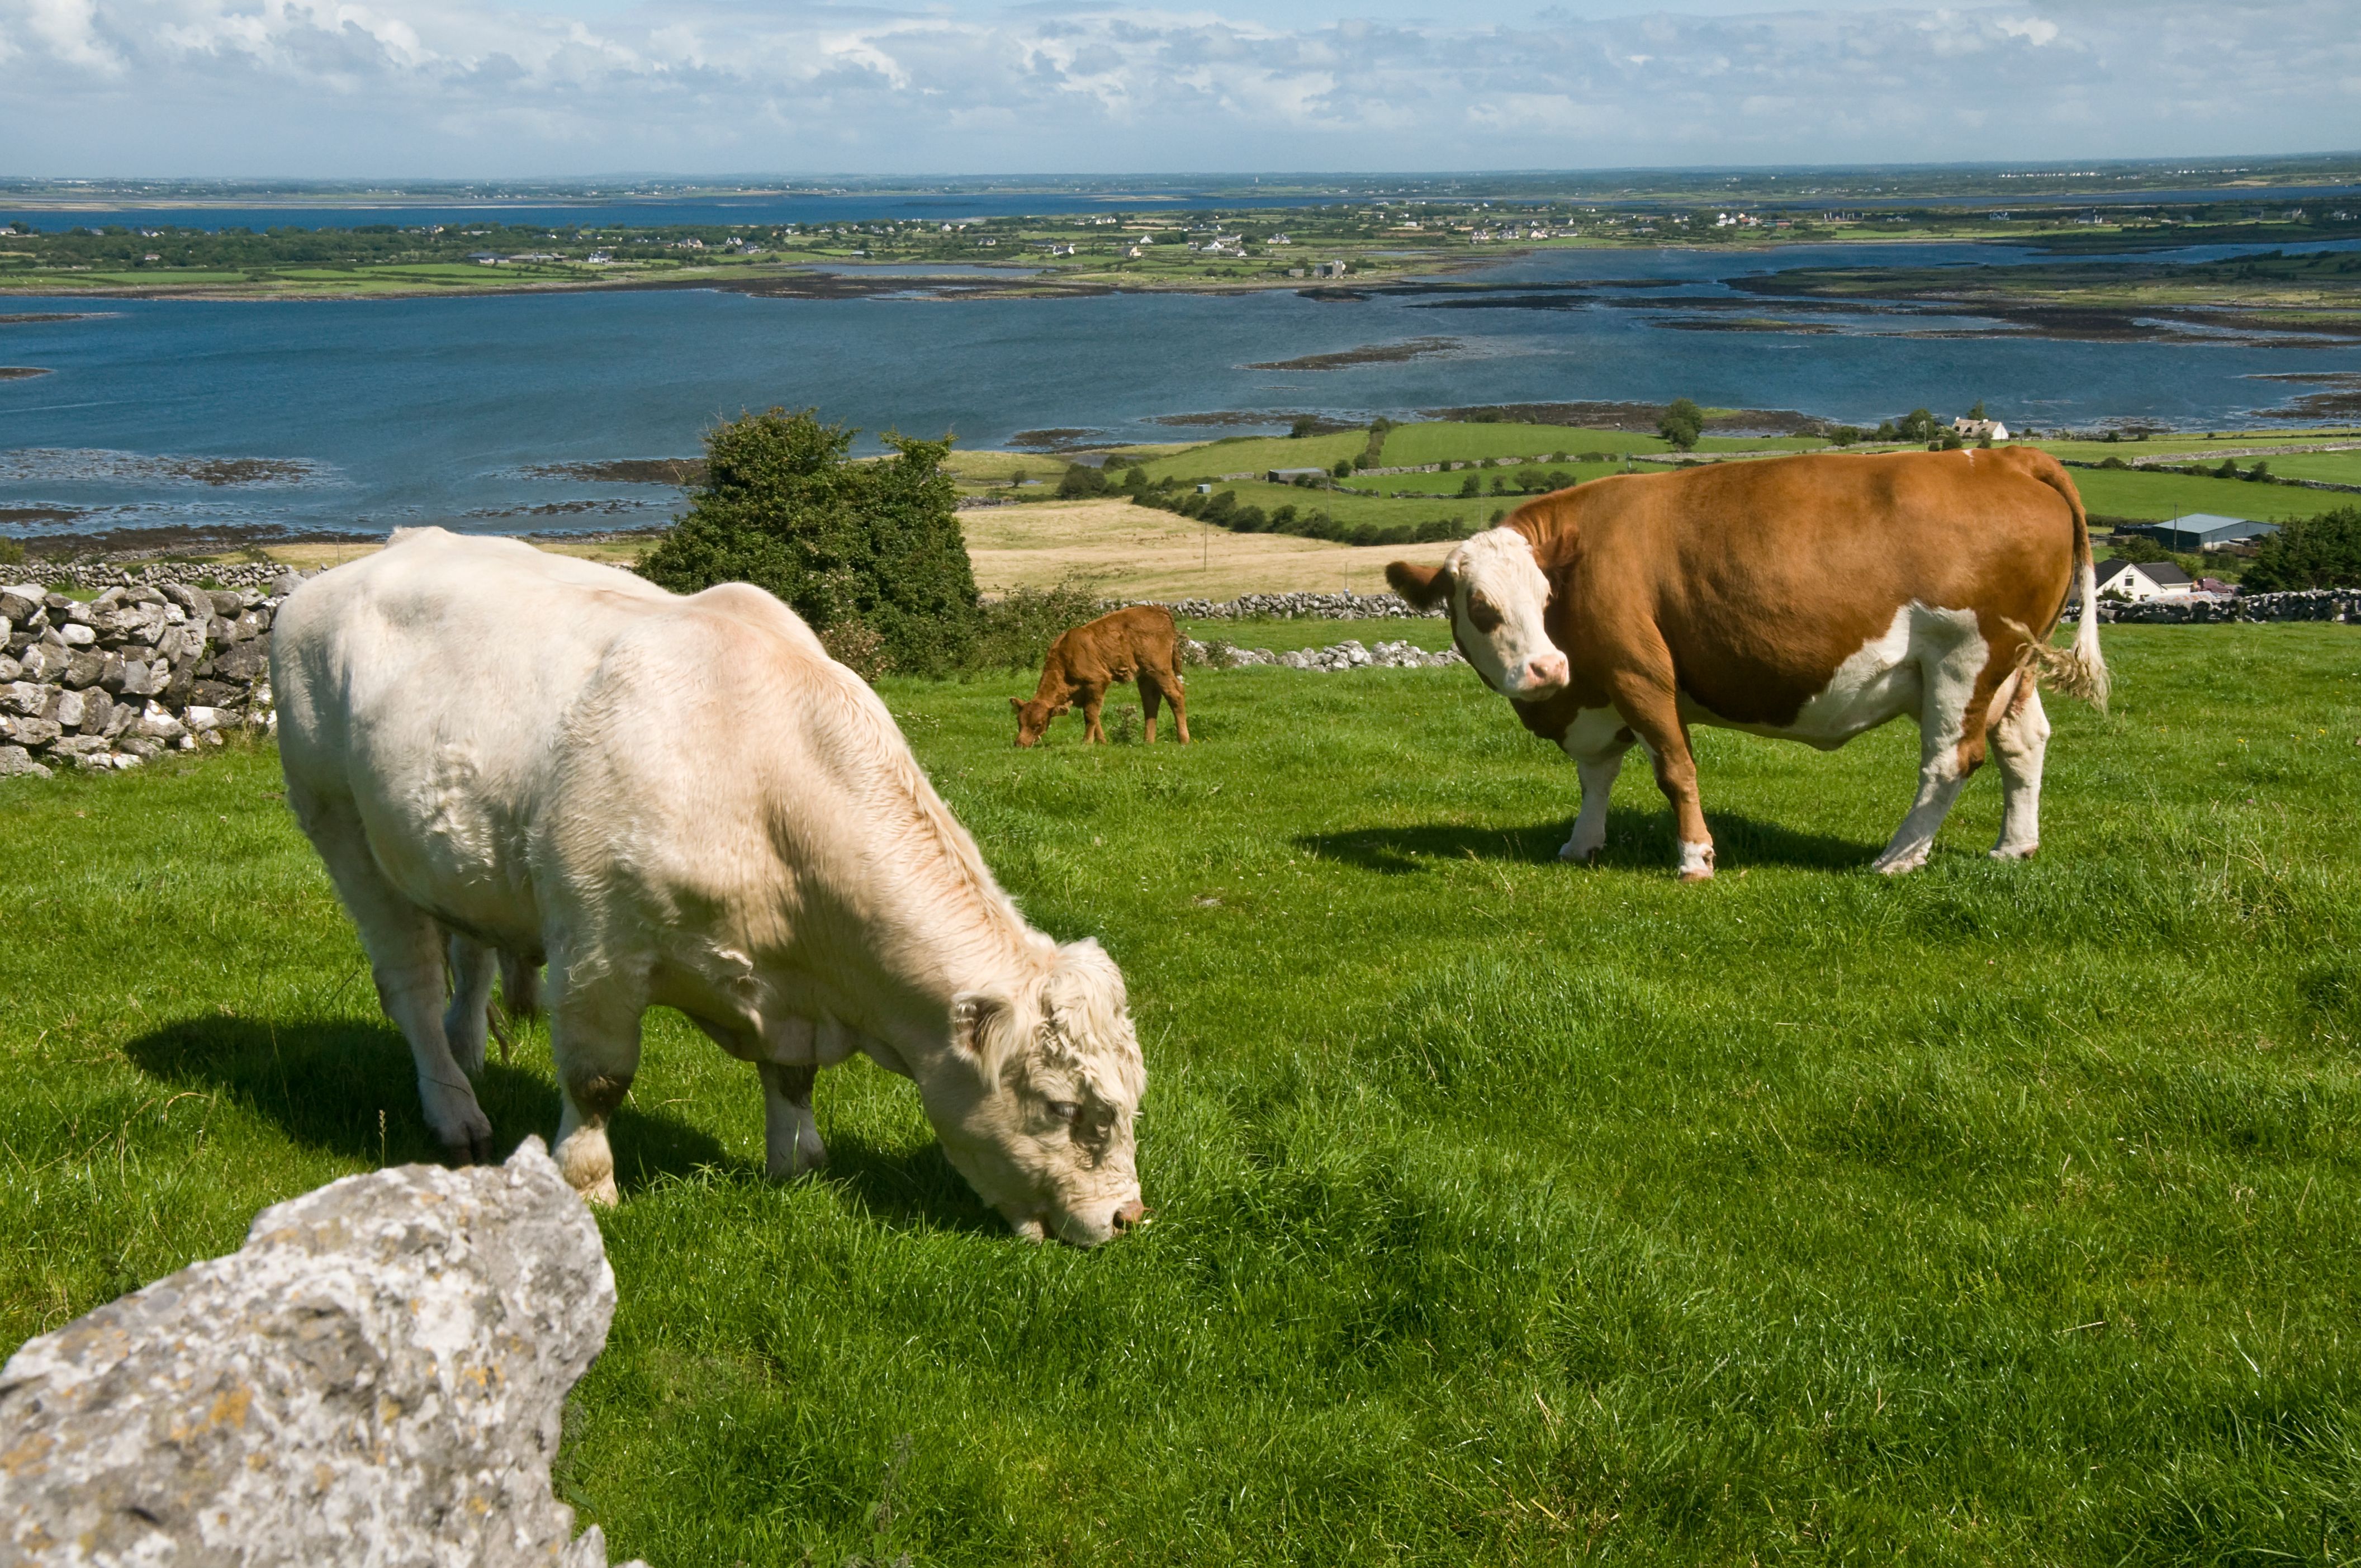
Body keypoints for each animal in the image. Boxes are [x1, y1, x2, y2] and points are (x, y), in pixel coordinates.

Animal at [272, 528, 1148, 1246]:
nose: (1128, 1218)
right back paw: (455, 1110)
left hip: (451, 852)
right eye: (1063, 1107)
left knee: (469, 956)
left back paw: (467, 1055)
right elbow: (598, 1078)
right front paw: (589, 1186)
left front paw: (799, 1161)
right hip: (340, 827)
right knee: (411, 986)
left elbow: (791, 1078)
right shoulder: (597, 946)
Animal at [1012, 604, 1191, 747]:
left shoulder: (1097, 681)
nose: (1020, 744)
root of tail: (1156, 608)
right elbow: (1094, 715)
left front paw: (1087, 742)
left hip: (1159, 669)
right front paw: (1102, 742)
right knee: (1151, 700)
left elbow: (1091, 715)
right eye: (1019, 722)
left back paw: (1183, 739)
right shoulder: (1085, 694)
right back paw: (1148, 741)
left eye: (1038, 724)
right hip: (1146, 675)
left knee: (1175, 694)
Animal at [1385, 447, 2108, 880]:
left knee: (1951, 760)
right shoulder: (1596, 693)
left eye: (1542, 599)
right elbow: (1596, 775)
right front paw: (1581, 843)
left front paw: (1695, 858)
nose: (1544, 670)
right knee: (2023, 743)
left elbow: (1674, 770)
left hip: (1964, 661)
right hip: (2015, 667)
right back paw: (2013, 847)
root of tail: (2007, 457)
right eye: (1482, 606)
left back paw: (1897, 859)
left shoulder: (1638, 673)